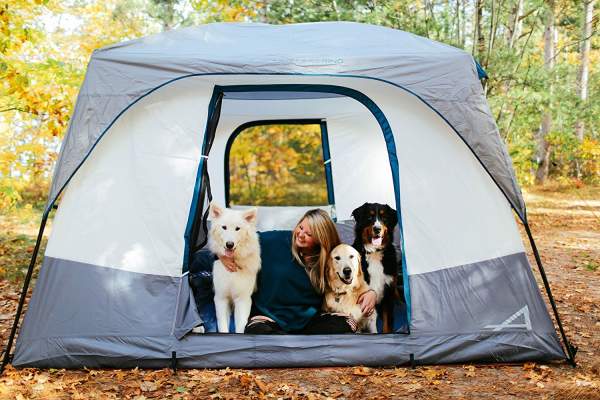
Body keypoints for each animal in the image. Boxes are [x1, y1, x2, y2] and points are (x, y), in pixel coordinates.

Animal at [209, 203, 260, 334]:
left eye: (238, 228)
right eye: (224, 227)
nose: (229, 244)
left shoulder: (243, 300)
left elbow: (240, 326)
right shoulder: (221, 298)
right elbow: (222, 326)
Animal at [352, 203, 404, 332]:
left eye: (384, 218)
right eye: (369, 217)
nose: (377, 229)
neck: (374, 253)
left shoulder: (388, 291)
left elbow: (387, 324)